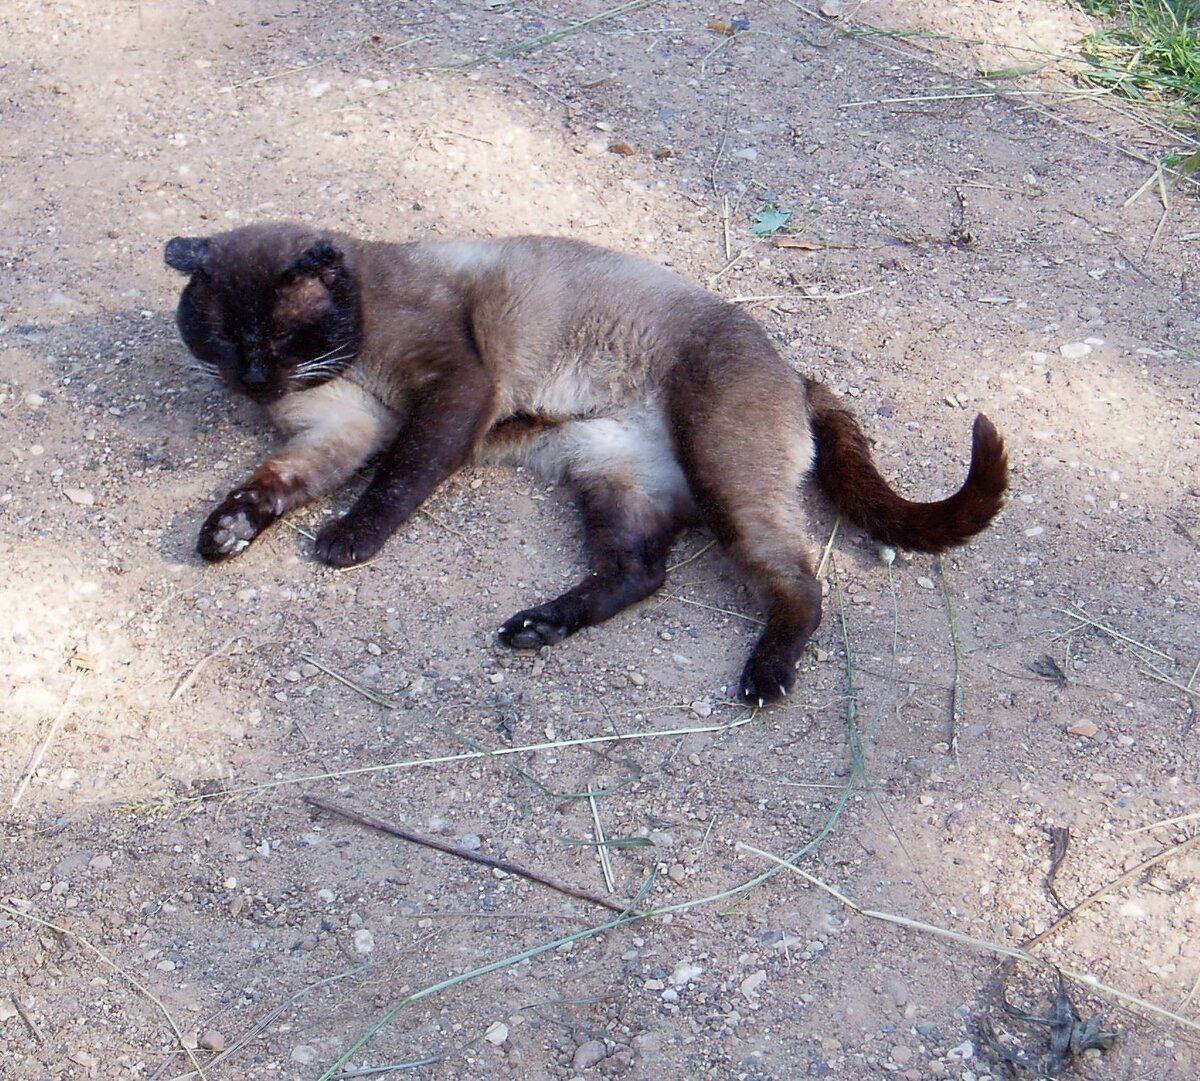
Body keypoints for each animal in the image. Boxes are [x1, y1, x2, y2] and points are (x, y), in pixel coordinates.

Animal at [159, 223, 1003, 705]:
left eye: (279, 336)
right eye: (224, 338)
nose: (253, 380)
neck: (343, 361)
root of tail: (795, 374)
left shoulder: (450, 393)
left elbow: (398, 478)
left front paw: (344, 543)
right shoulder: (336, 430)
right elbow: (273, 486)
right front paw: (224, 533)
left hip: (720, 473)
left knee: (799, 581)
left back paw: (765, 677)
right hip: (609, 474)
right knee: (641, 571)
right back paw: (537, 626)